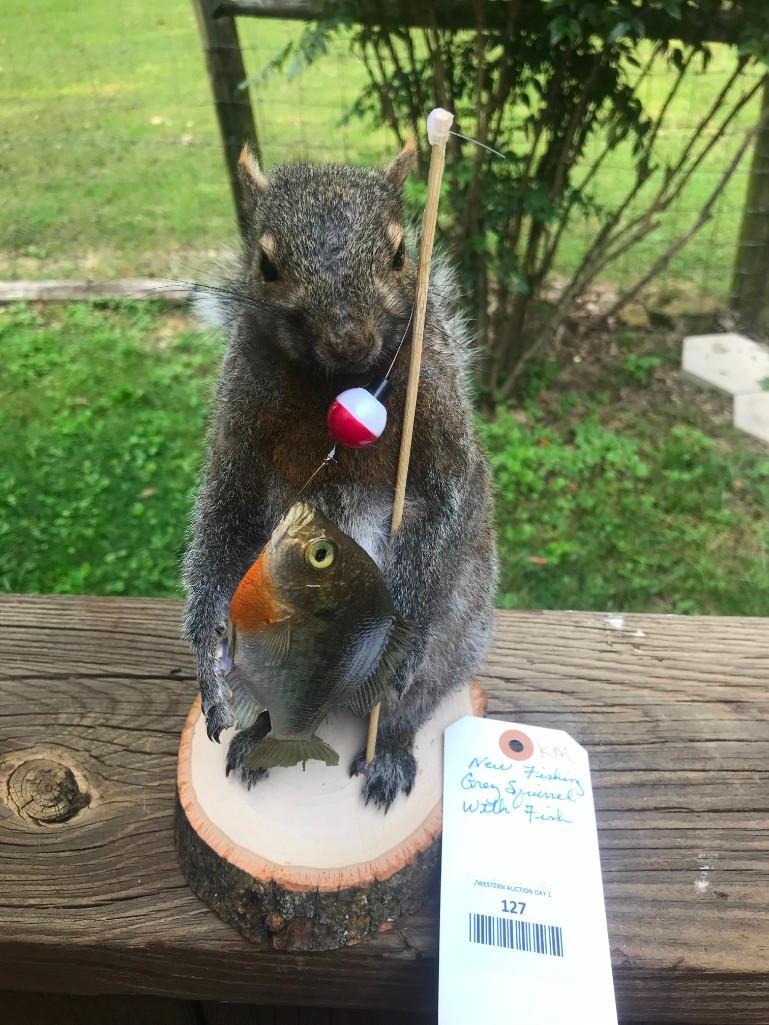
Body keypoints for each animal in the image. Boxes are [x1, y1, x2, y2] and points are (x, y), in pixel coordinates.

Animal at [182, 142, 497, 810]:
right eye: (266, 264)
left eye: (402, 254)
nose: (349, 339)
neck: (337, 383)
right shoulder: (236, 444)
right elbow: (220, 527)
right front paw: (209, 658)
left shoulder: (443, 438)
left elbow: (443, 510)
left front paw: (404, 623)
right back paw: (259, 738)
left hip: (452, 646)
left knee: (407, 705)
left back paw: (388, 754)